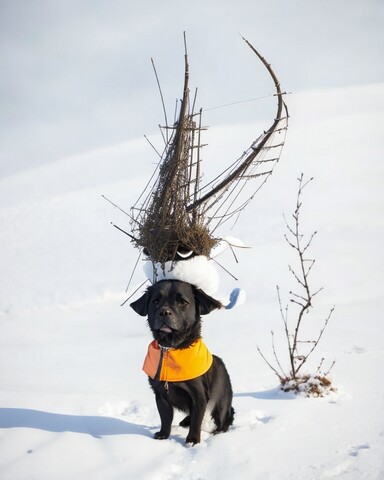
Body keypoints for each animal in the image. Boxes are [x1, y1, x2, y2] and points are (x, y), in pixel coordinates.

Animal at [130, 280, 236, 444]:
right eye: (155, 301)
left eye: (182, 302)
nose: (164, 312)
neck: (171, 348)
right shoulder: (160, 394)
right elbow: (166, 418)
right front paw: (163, 435)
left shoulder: (198, 395)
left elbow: (196, 420)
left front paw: (193, 440)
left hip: (221, 404)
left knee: (224, 420)